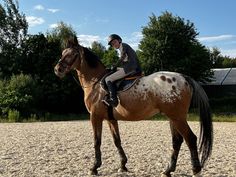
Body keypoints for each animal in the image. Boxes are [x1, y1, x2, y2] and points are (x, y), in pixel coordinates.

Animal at [54, 37, 213, 177]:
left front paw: (94, 167)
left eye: (71, 54)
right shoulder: (111, 119)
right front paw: (123, 165)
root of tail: (184, 77)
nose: (57, 69)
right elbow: (117, 141)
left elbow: (96, 141)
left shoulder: (95, 116)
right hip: (173, 118)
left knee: (190, 139)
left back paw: (196, 170)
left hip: (177, 117)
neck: (95, 81)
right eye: (62, 53)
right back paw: (168, 170)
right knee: (177, 141)